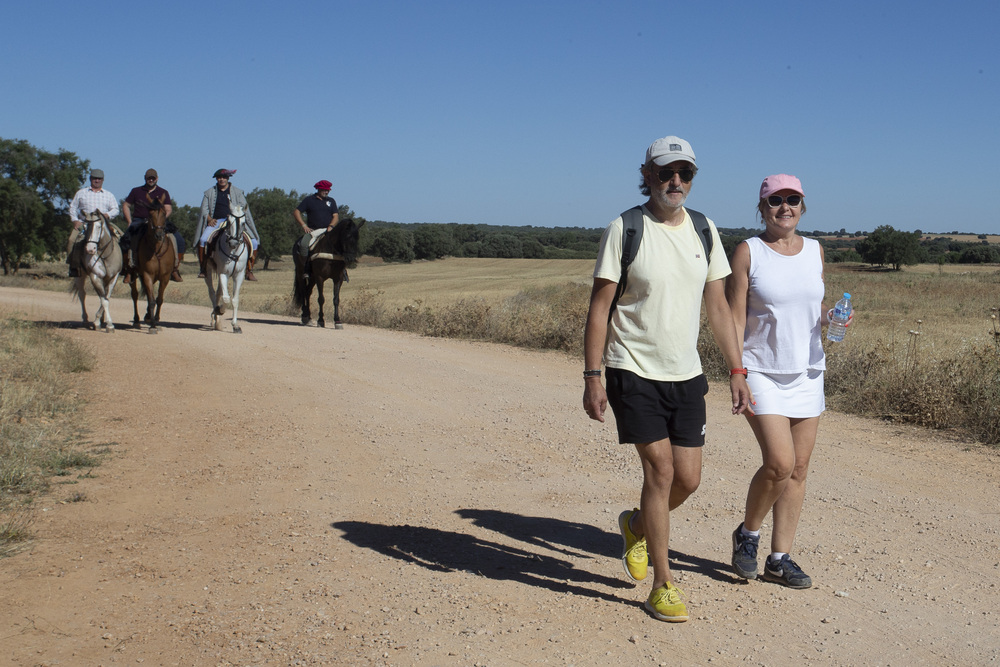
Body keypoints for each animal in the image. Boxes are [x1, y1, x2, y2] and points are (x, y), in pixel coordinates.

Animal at [130, 201, 175, 332]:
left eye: (164, 214)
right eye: (150, 216)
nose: (159, 235)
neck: (156, 250)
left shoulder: (165, 277)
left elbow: (159, 299)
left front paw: (156, 320)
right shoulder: (147, 275)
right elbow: (151, 300)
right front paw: (153, 325)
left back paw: (148, 316)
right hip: (132, 274)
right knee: (134, 295)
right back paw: (136, 320)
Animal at [203, 204, 250, 334]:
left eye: (244, 223)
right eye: (229, 221)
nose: (233, 243)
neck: (233, 251)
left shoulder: (239, 275)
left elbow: (234, 300)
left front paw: (235, 326)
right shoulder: (223, 273)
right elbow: (226, 298)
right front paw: (220, 310)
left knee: (218, 293)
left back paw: (216, 320)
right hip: (208, 271)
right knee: (212, 292)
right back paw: (215, 315)